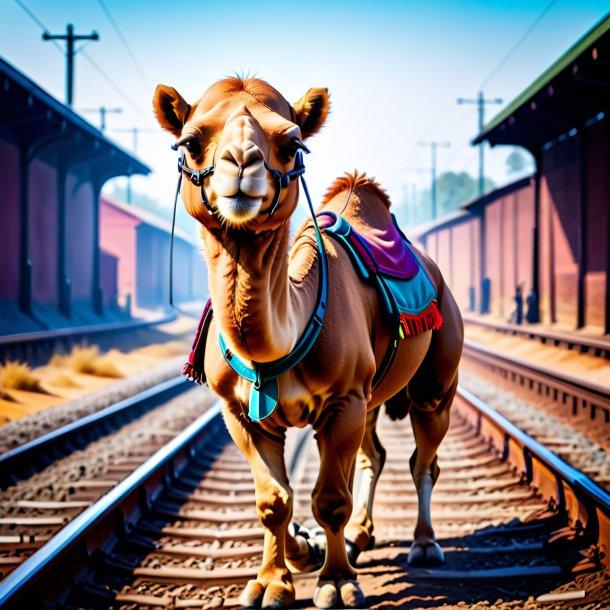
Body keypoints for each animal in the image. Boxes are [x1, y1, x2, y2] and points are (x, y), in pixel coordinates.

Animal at [152, 77, 460, 608]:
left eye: (293, 142)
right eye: (189, 141)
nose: (242, 162)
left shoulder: (343, 401)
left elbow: (330, 500)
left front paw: (335, 582)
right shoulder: (240, 413)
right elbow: (274, 502)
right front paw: (275, 578)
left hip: (435, 380)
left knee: (424, 458)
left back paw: (423, 544)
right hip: (373, 394)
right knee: (374, 455)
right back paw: (358, 537)